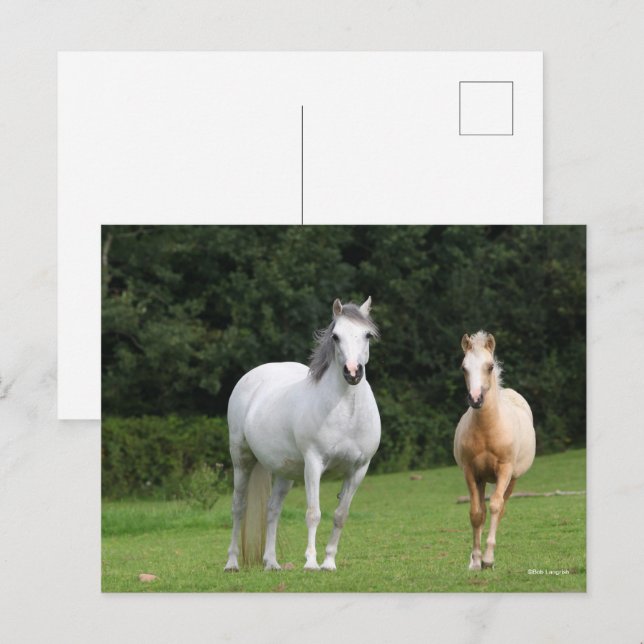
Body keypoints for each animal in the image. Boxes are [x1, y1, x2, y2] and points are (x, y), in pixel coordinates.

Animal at [224, 297, 381, 572]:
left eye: (367, 335)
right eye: (336, 336)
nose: (352, 373)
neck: (347, 412)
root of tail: (251, 377)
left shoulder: (359, 469)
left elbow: (340, 515)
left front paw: (328, 562)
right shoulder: (314, 464)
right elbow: (313, 513)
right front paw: (310, 562)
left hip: (284, 472)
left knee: (272, 510)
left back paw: (271, 563)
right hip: (241, 460)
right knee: (238, 507)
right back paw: (232, 562)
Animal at [453, 331, 536, 570]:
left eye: (489, 366)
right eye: (463, 367)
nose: (475, 399)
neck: (488, 430)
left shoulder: (505, 470)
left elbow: (496, 507)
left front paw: (488, 559)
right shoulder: (471, 472)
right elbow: (476, 513)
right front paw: (475, 560)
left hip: (512, 479)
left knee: (501, 507)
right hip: (482, 479)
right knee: (481, 510)